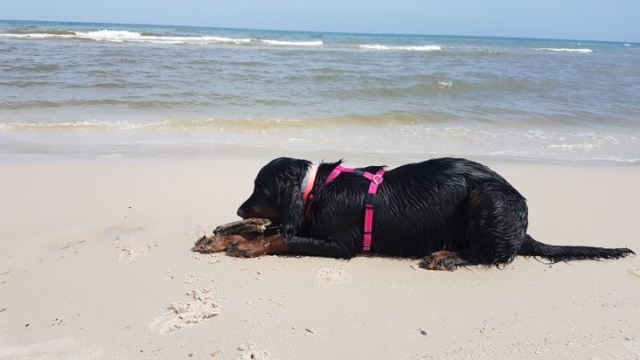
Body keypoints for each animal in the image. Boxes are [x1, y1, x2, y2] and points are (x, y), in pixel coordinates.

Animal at [222, 158, 632, 270]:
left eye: (261, 188)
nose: (240, 205)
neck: (315, 187)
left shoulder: (341, 244)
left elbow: (281, 236)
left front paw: (246, 246)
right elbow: (265, 228)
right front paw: (227, 234)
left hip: (488, 199)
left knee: (493, 254)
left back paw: (445, 256)